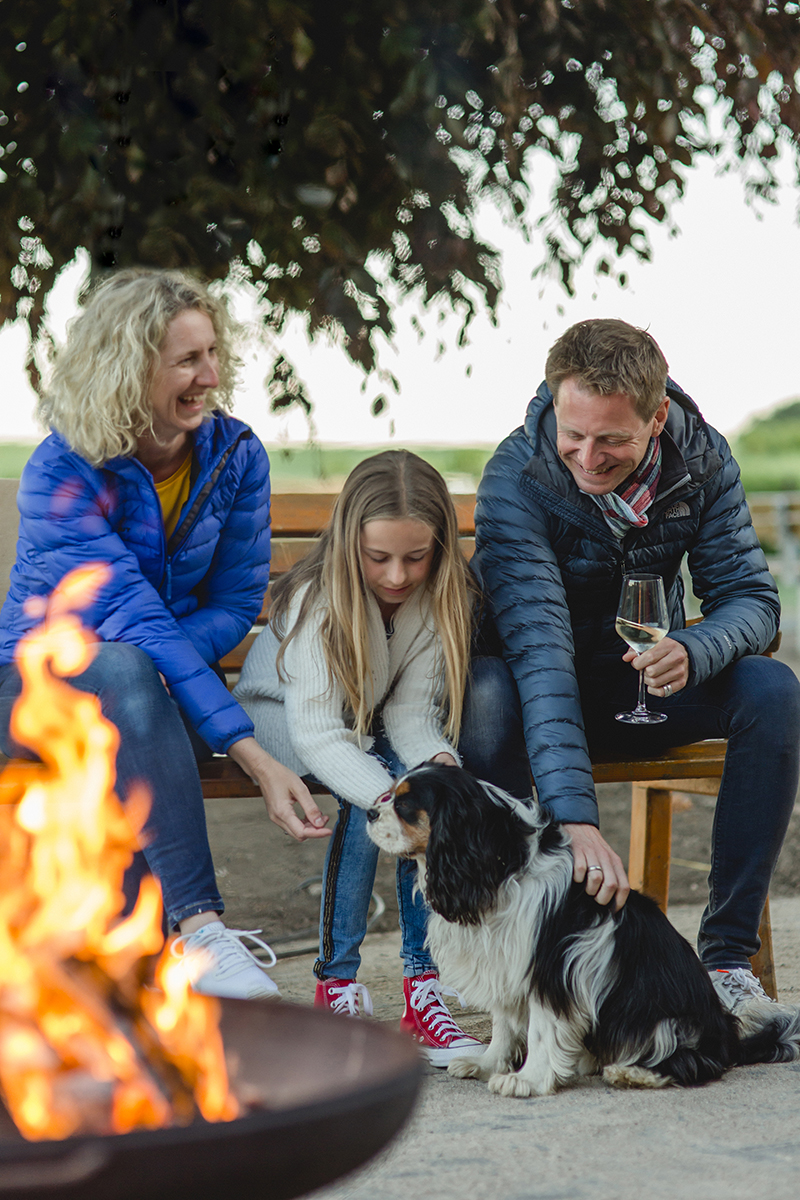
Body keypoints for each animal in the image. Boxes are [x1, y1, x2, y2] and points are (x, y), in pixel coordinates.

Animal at [367, 768, 800, 1099]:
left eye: (403, 805)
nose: (370, 811)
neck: (500, 866)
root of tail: (729, 1037)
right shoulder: (506, 962)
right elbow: (504, 1025)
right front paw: (487, 1063)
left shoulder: (550, 969)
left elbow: (540, 1030)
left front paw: (527, 1080)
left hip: (658, 1020)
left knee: (699, 1063)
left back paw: (633, 1071)